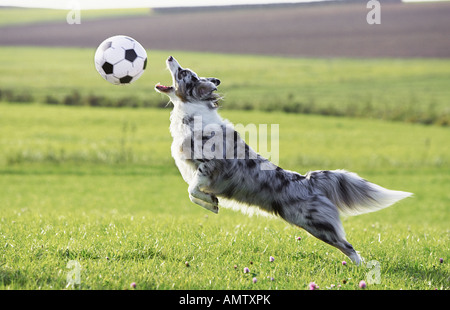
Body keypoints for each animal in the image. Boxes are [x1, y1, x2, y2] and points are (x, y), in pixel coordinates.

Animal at [155, 55, 412, 264]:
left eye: (183, 73)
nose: (170, 57)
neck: (192, 115)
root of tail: (306, 180)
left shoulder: (210, 167)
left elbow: (191, 189)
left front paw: (211, 201)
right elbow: (194, 194)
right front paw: (212, 203)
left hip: (318, 226)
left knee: (348, 247)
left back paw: (362, 269)